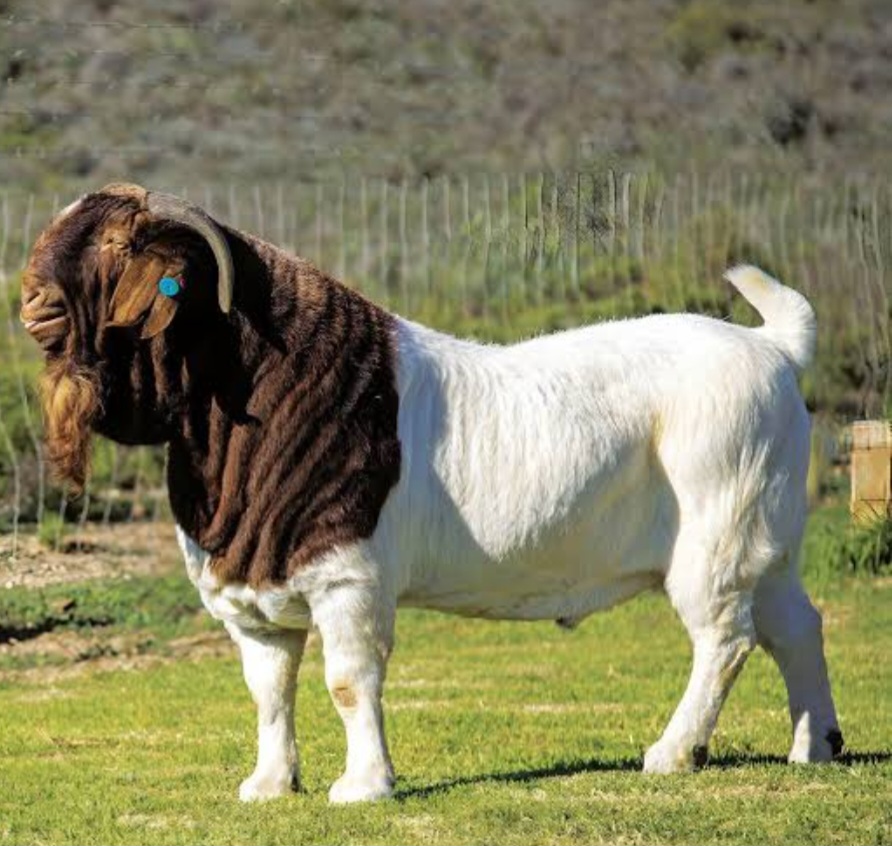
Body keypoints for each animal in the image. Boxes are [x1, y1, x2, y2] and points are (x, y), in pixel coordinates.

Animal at [21, 183, 843, 803]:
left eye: (118, 247)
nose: (32, 303)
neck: (260, 396)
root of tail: (771, 346)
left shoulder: (347, 577)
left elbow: (348, 681)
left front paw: (363, 787)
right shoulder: (253, 598)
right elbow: (269, 690)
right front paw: (269, 784)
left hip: (715, 535)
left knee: (725, 638)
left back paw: (672, 753)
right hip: (768, 542)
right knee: (796, 626)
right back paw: (816, 746)